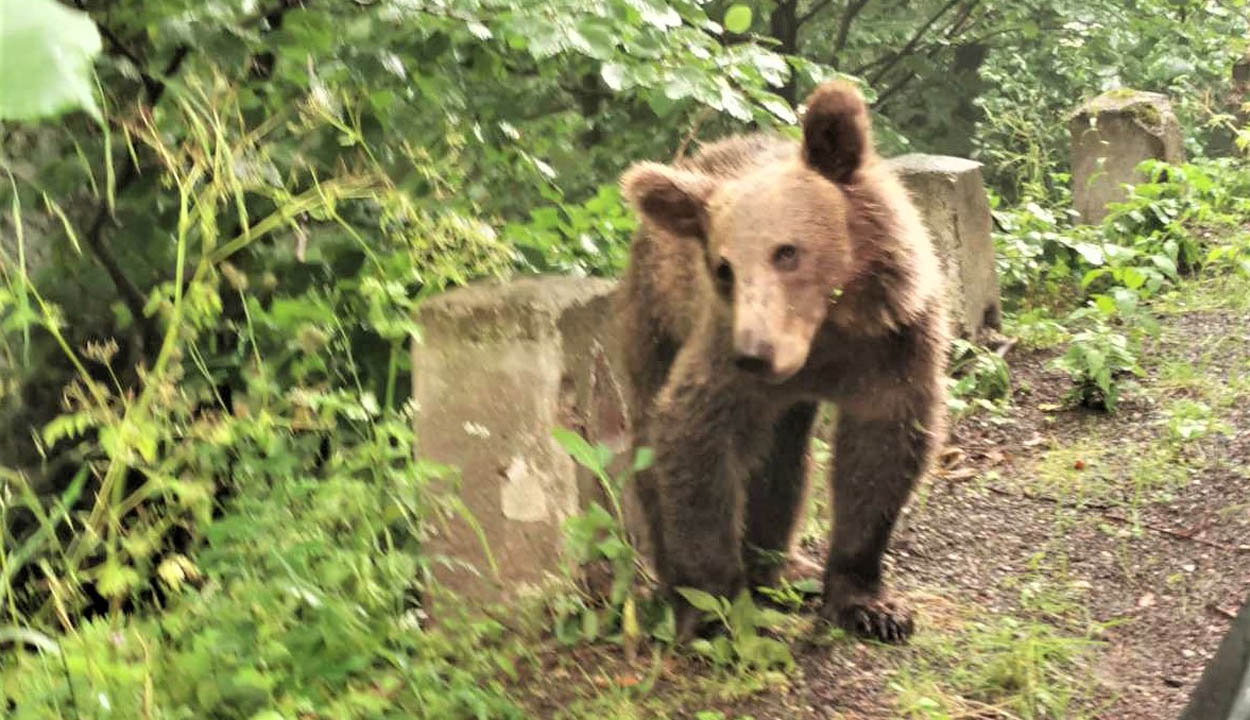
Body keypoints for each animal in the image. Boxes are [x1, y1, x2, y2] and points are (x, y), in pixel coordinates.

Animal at [615, 78, 945, 640]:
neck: (824, 338)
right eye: (723, 268)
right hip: (654, 322)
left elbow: (880, 452)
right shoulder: (719, 357)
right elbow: (692, 441)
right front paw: (712, 606)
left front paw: (871, 605)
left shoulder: (894, 343)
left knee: (782, 463)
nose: (755, 353)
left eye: (786, 251)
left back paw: (783, 568)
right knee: (651, 449)